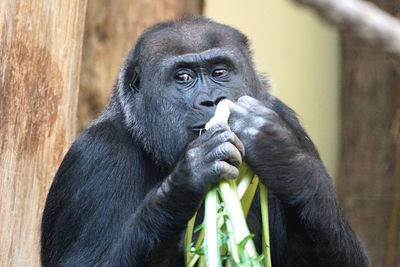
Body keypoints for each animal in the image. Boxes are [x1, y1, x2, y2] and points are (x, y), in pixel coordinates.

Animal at [40, 17, 368, 267]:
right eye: (183, 77)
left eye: (219, 72)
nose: (212, 100)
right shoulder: (95, 156)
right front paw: (191, 173)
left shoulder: (289, 121)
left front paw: (280, 156)